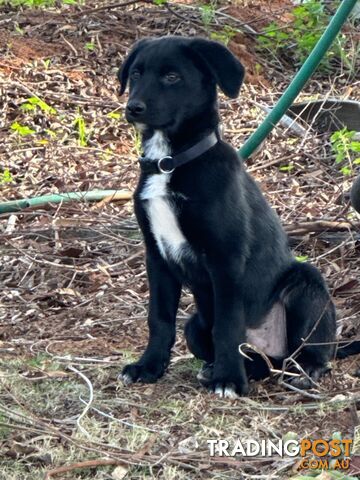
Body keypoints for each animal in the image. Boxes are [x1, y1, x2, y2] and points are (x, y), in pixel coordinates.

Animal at [117, 35, 358, 398]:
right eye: (135, 74)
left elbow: (227, 325)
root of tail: (273, 352)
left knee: (311, 350)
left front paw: (229, 379)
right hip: (195, 325)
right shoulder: (156, 257)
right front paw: (149, 366)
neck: (171, 163)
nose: (134, 107)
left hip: (306, 283)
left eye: (172, 77)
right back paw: (221, 369)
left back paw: (303, 371)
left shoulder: (226, 258)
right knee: (259, 364)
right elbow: (159, 319)